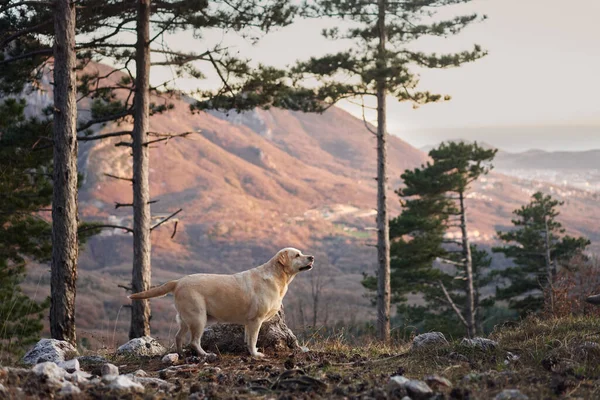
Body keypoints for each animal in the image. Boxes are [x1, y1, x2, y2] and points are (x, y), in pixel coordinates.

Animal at [127, 248, 314, 358]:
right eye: (297, 255)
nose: (312, 257)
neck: (277, 276)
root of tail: (178, 281)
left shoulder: (249, 322)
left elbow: (248, 338)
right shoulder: (256, 320)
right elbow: (253, 339)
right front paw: (255, 354)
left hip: (186, 318)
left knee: (179, 337)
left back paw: (181, 354)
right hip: (198, 317)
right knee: (194, 341)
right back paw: (205, 355)